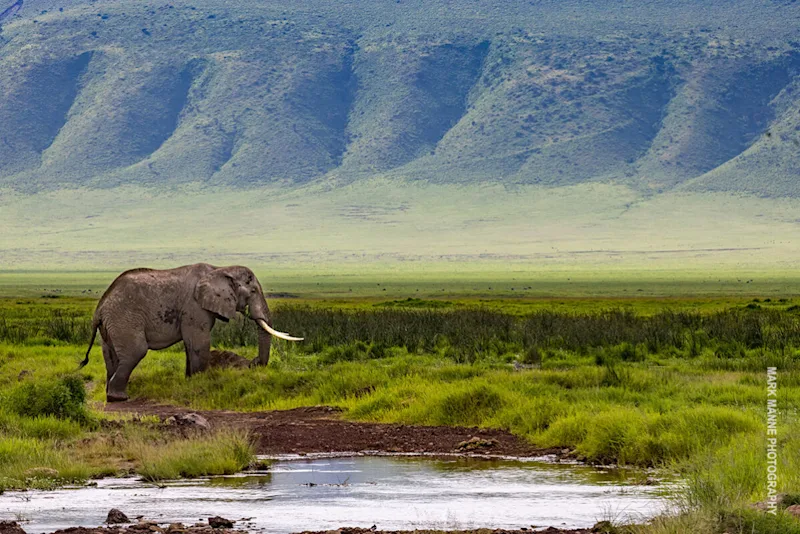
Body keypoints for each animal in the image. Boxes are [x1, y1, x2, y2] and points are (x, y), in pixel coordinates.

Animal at [79, 263, 303, 402]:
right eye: (253, 291)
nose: (254, 361)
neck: (220, 269)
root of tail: (100, 308)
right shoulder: (195, 307)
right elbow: (198, 343)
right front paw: (199, 384)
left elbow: (190, 345)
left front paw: (189, 382)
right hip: (124, 319)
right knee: (136, 351)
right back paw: (119, 398)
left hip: (111, 326)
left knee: (111, 357)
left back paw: (111, 395)